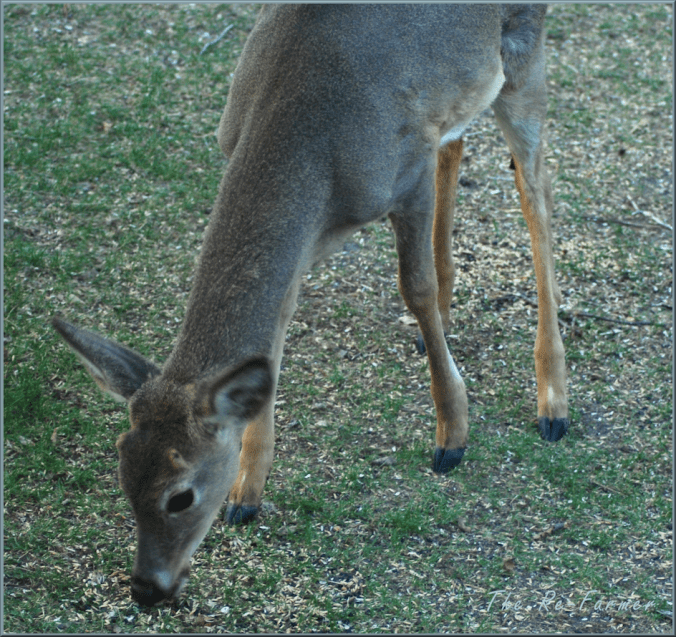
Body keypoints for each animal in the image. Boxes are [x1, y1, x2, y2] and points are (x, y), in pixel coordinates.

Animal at [52, 4, 568, 606]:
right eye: (123, 474)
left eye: (181, 494)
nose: (146, 588)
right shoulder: (310, 236)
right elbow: (274, 333)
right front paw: (248, 492)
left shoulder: (406, 167)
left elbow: (412, 286)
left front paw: (452, 436)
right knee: (462, 143)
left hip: (525, 51)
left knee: (536, 189)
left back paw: (553, 403)